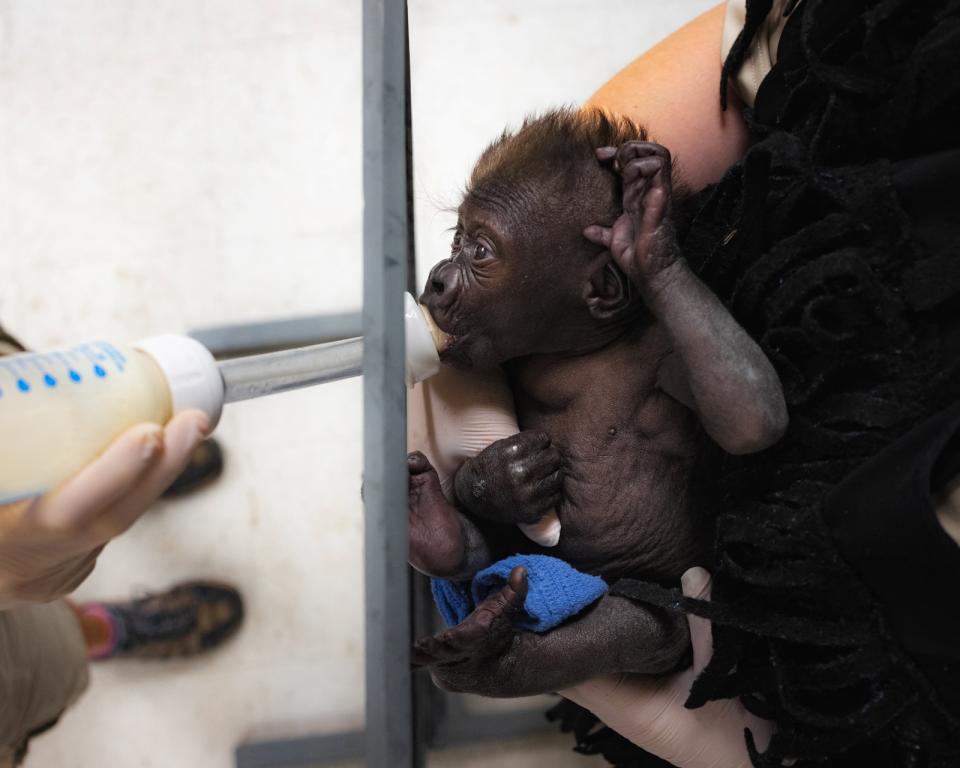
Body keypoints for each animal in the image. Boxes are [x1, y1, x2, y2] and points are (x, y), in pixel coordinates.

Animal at [406, 106, 788, 696]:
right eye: (455, 240)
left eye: (480, 251)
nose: (438, 279)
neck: (575, 348)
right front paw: (502, 478)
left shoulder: (665, 349)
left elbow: (751, 416)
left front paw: (649, 235)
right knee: (486, 558)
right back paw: (438, 534)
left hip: (652, 595)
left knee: (639, 632)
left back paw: (485, 654)